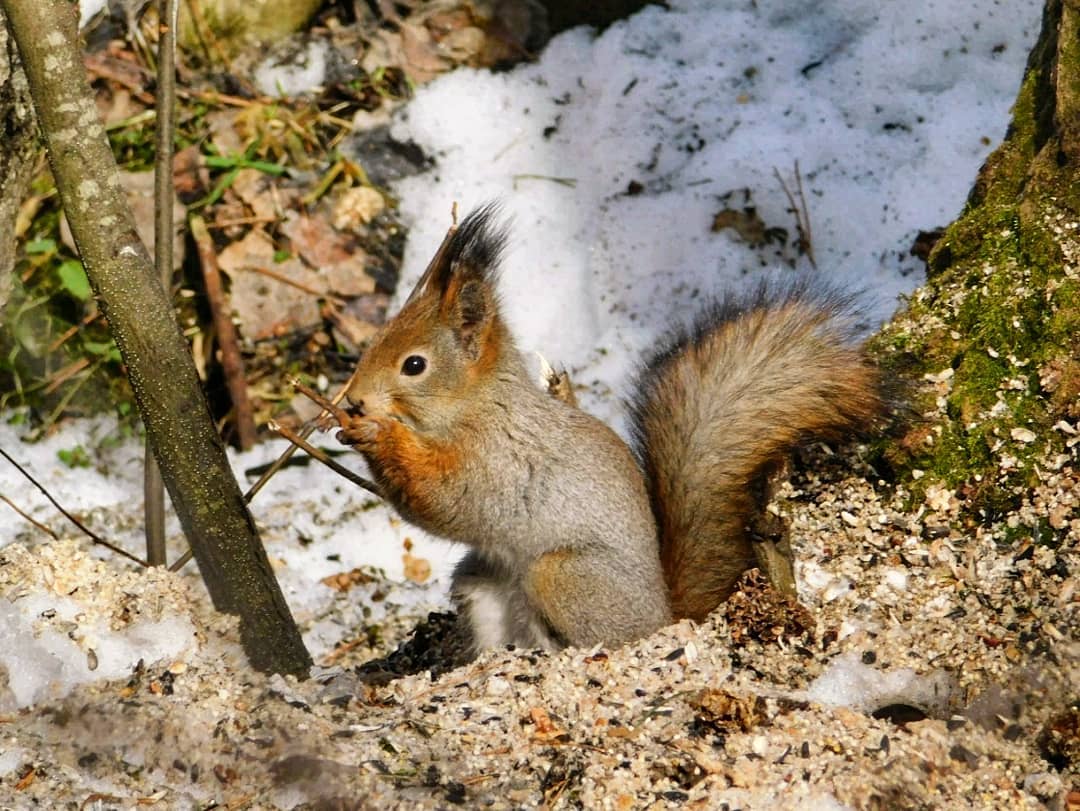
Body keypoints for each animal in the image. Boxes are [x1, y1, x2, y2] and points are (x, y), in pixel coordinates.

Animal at [336, 206, 885, 656]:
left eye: (414, 365)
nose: (354, 400)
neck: (478, 405)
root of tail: (667, 617)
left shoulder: (498, 460)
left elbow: (444, 499)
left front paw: (377, 436)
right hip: (482, 584)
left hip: (562, 575)